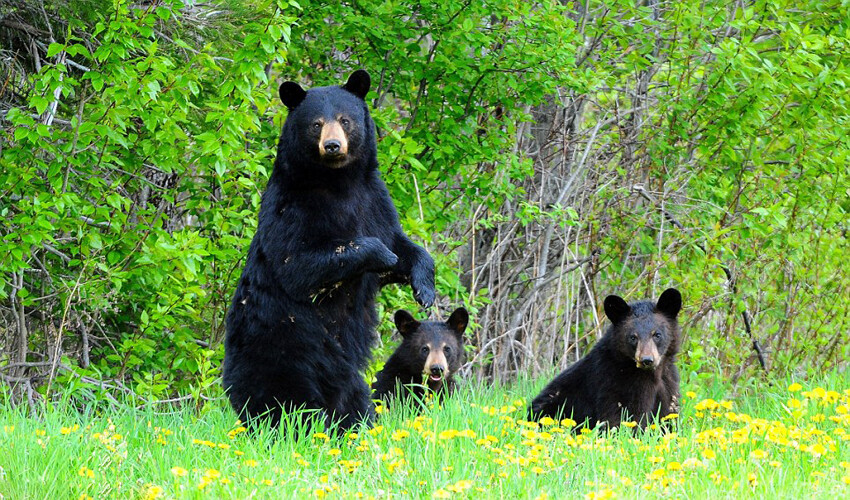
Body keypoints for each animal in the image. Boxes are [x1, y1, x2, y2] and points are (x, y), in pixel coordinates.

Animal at [222, 70, 434, 434]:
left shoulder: (375, 200)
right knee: (284, 402)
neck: (339, 181)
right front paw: (382, 255)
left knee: (353, 398)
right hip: (283, 350)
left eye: (345, 120)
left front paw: (424, 287)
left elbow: (401, 243)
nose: (332, 145)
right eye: (316, 124)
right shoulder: (292, 208)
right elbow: (300, 263)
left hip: (343, 372)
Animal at [528, 288, 680, 432]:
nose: (646, 360)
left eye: (657, 334)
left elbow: (668, 414)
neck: (653, 373)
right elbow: (625, 417)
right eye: (633, 337)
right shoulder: (617, 384)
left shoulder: (668, 383)